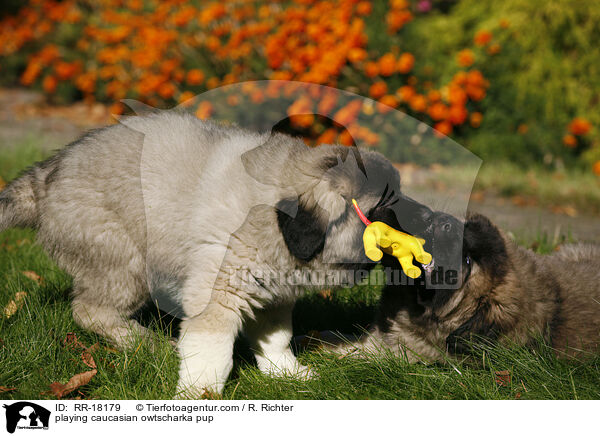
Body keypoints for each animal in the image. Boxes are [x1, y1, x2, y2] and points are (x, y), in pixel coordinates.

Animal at [0, 110, 440, 396]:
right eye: (387, 206)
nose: (431, 219)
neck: (279, 220)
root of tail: (46, 176)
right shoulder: (218, 292)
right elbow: (211, 354)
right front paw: (199, 396)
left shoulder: (272, 294)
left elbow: (277, 338)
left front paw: (285, 373)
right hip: (123, 261)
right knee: (90, 312)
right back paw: (146, 342)